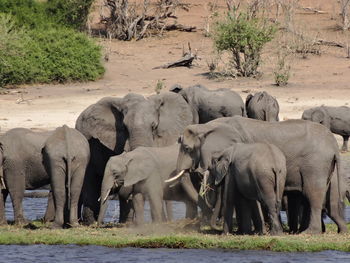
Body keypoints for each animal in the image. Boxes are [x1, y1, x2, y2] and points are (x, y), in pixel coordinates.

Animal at [174, 116, 346, 234]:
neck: (206, 126)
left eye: (187, 148)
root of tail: (334, 145)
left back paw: (309, 232)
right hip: (325, 166)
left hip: (315, 164)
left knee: (312, 195)